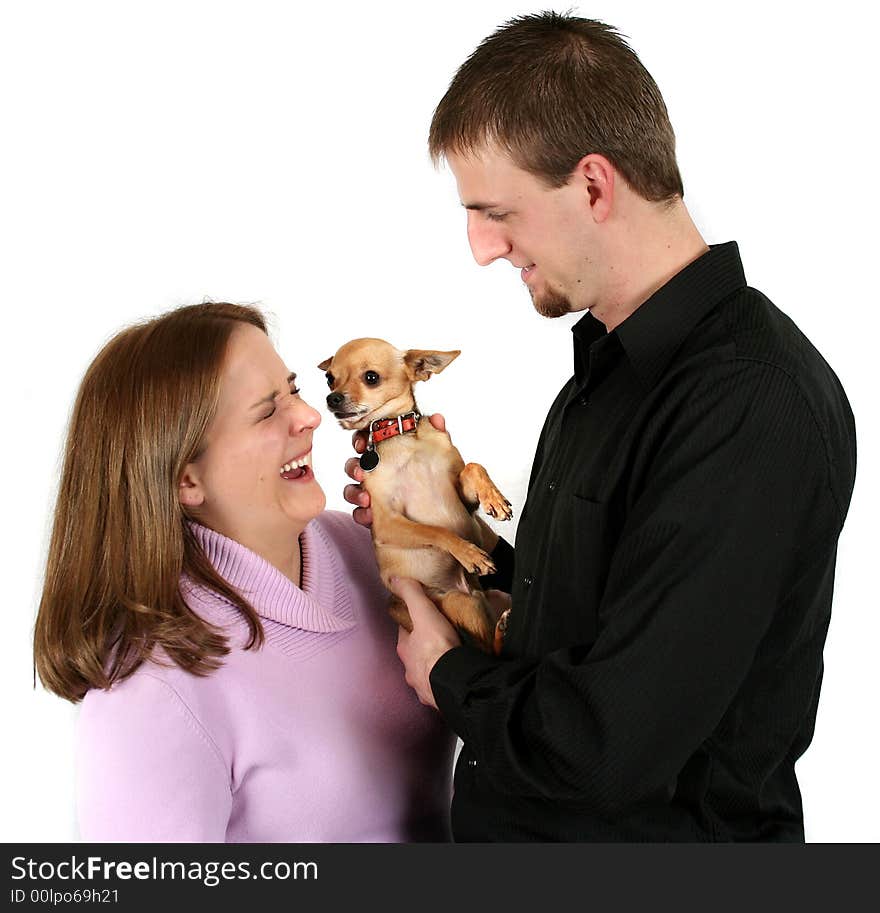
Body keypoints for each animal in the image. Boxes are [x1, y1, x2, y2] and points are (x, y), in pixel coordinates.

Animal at [318, 338, 512, 652]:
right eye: (329, 378)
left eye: (371, 377)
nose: (332, 398)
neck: (401, 438)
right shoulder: (386, 523)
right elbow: (436, 531)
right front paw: (470, 553)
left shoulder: (462, 499)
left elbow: (473, 467)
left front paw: (494, 499)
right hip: (458, 604)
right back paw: (501, 629)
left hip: (484, 598)